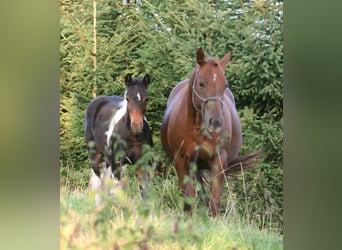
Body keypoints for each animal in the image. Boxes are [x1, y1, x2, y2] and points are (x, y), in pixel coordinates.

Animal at [86, 73, 153, 205]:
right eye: (127, 98)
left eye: (146, 99)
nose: (136, 126)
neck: (133, 137)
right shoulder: (117, 164)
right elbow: (119, 192)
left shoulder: (143, 163)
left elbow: (144, 191)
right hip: (95, 155)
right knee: (98, 184)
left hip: (108, 159)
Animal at [161, 48, 260, 217]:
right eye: (201, 83)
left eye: (225, 85)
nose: (216, 122)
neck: (198, 129)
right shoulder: (181, 161)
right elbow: (188, 197)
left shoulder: (218, 160)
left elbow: (215, 201)